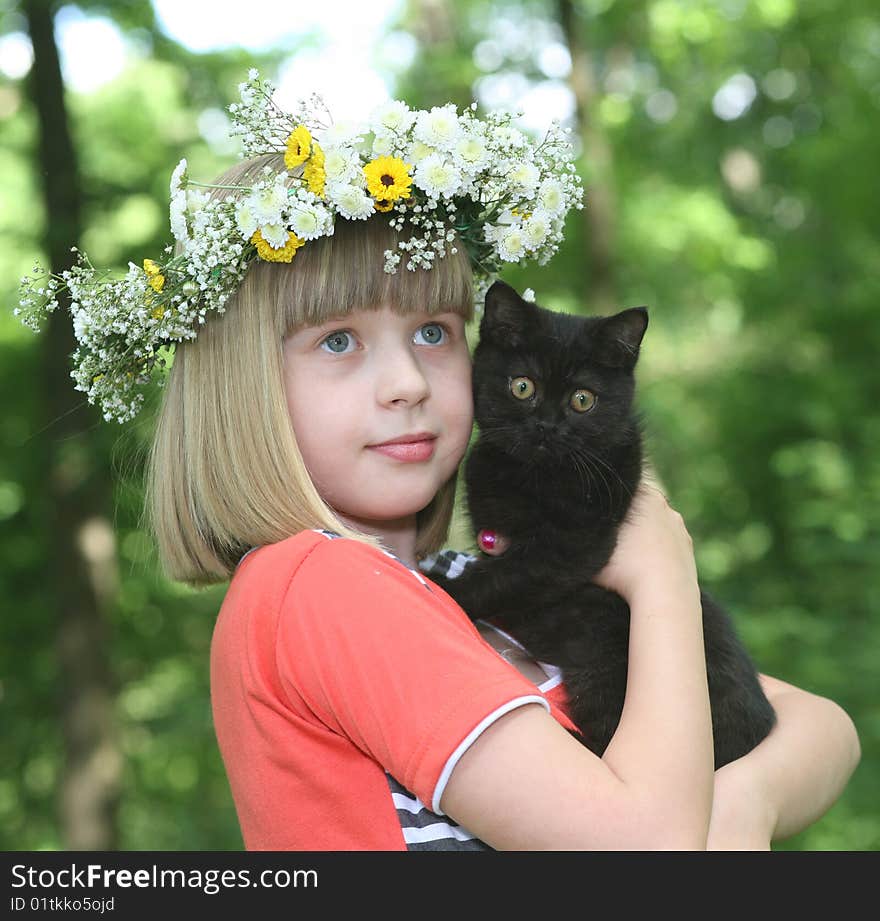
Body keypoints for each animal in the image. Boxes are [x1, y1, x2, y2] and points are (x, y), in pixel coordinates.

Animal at [436, 282, 772, 768]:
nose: (546, 426)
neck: (533, 477)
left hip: (608, 652)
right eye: (522, 386)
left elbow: (499, 579)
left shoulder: (572, 549)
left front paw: (437, 586)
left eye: (582, 400)